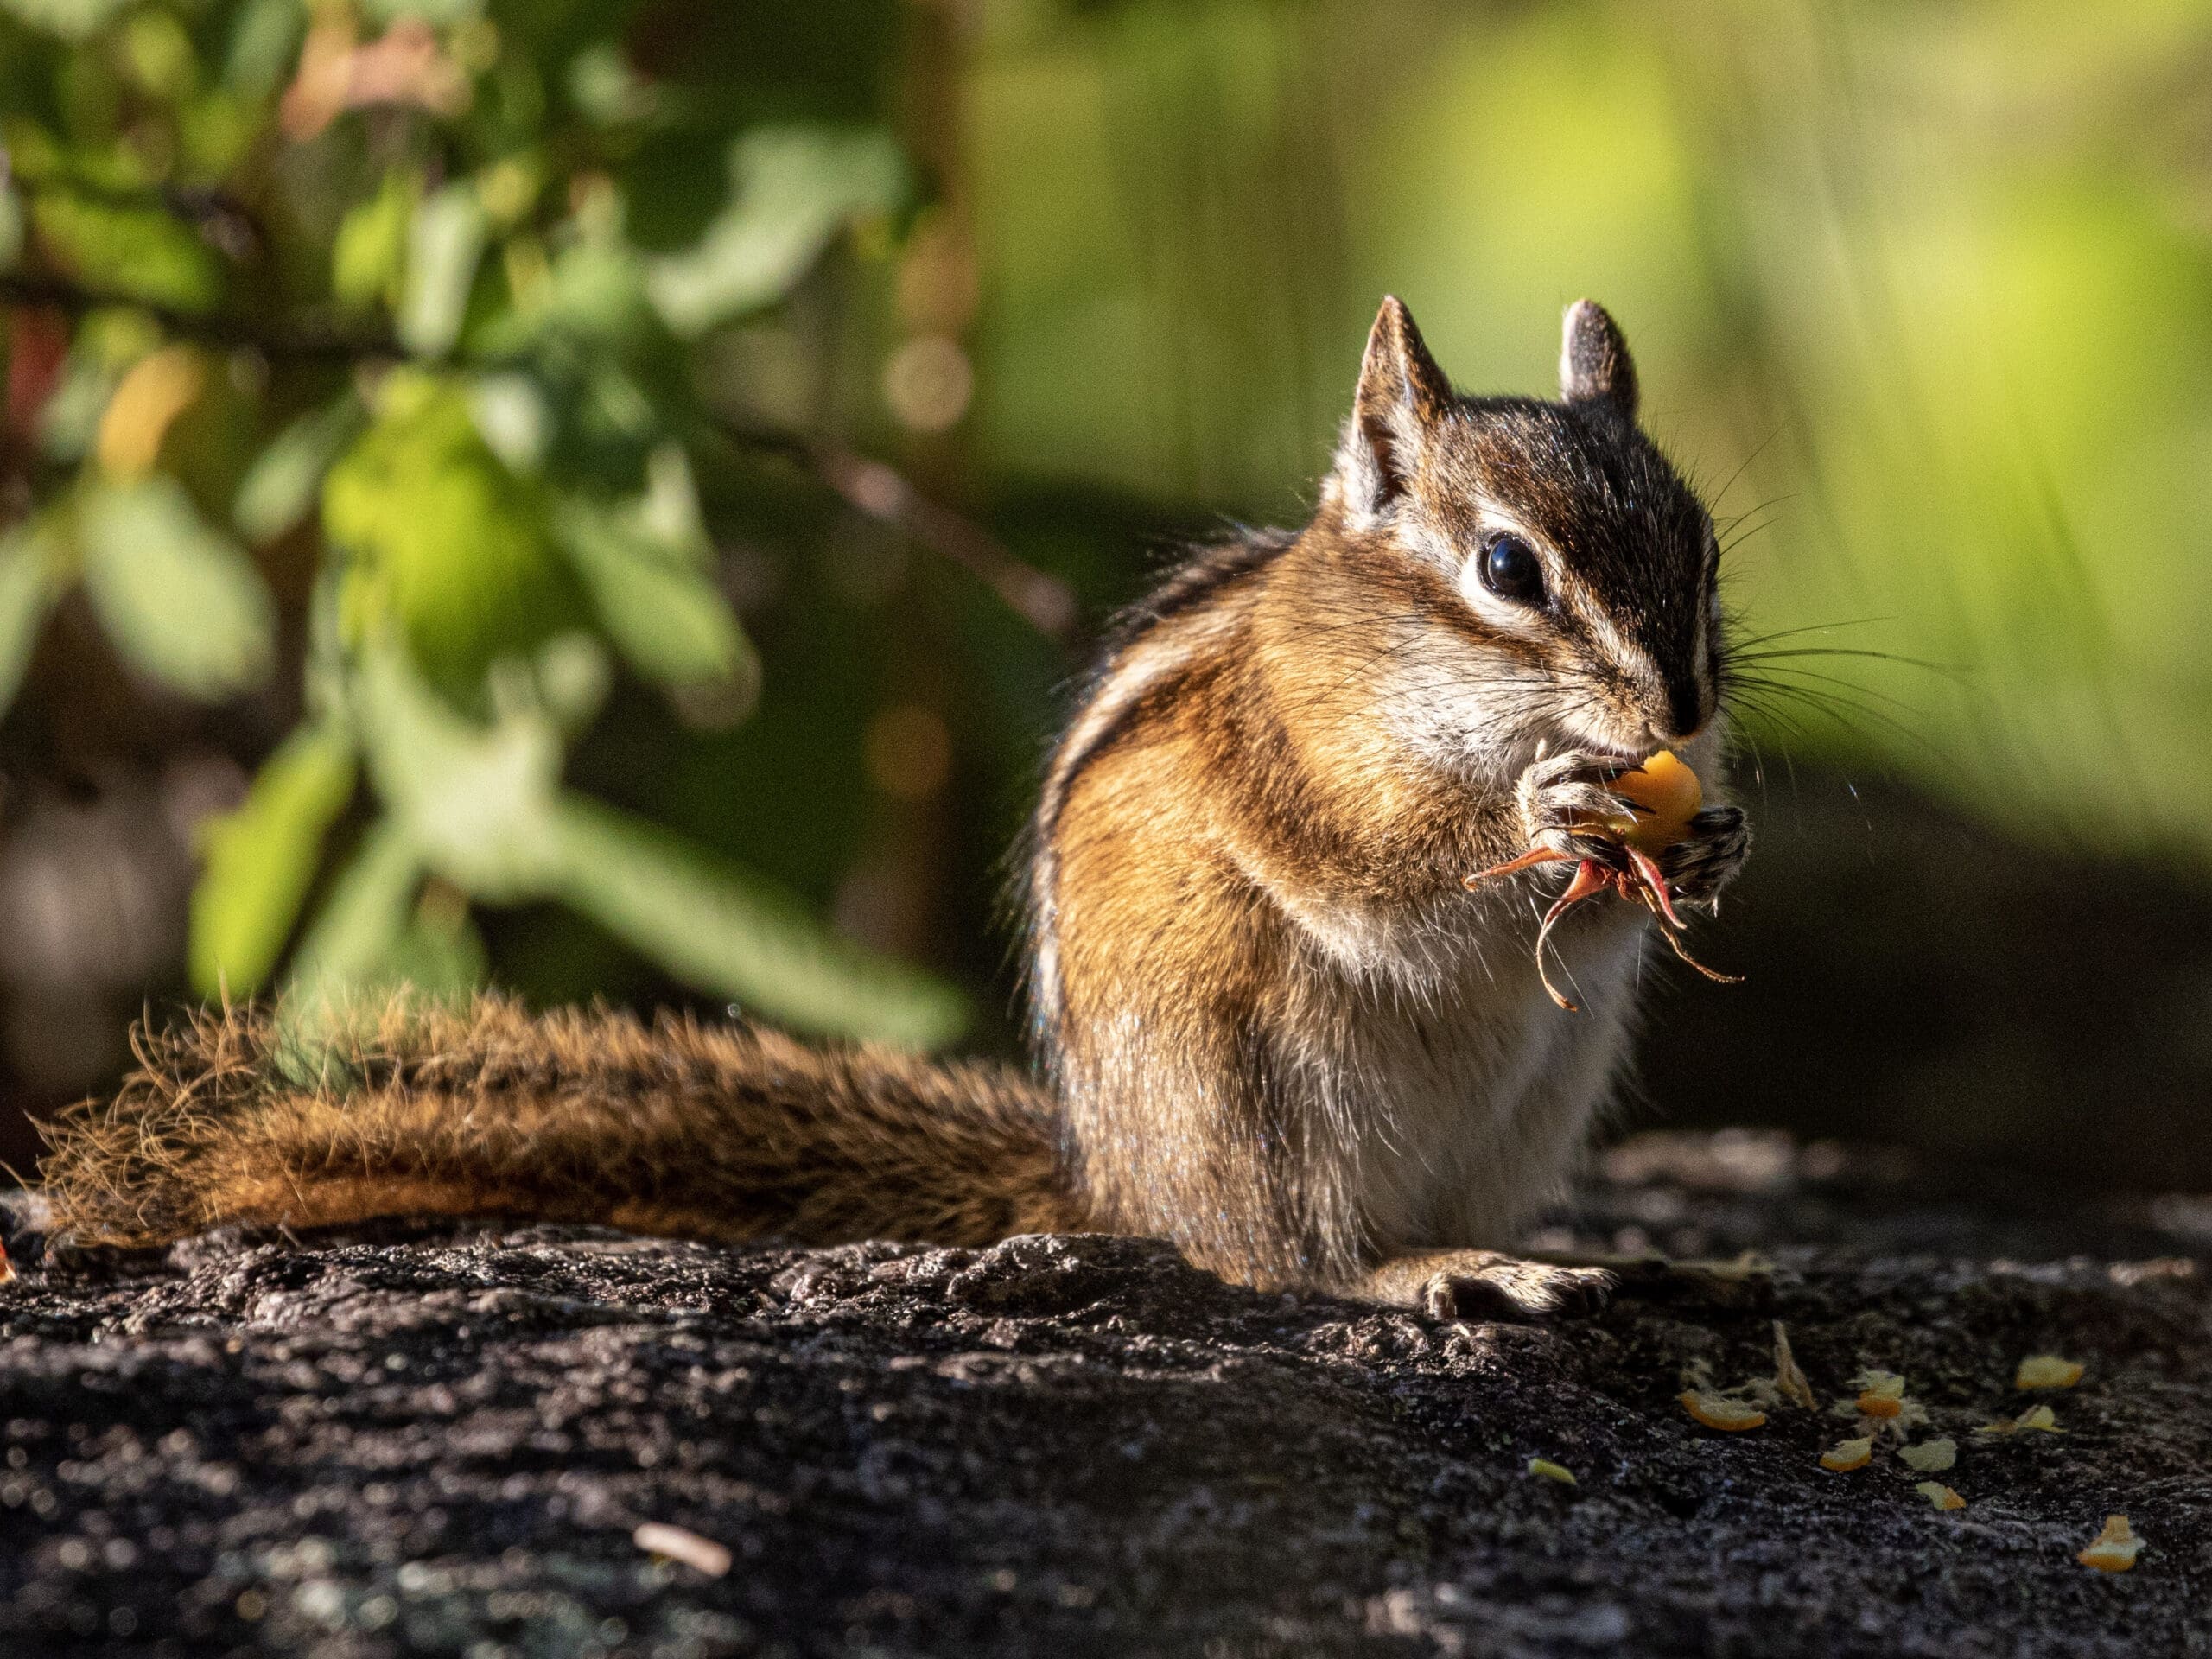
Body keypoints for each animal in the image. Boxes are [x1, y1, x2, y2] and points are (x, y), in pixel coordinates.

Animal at [34, 297, 1748, 1319]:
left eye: (1707, 549)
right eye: (1508, 568)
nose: (1681, 716)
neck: (1414, 671)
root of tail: (1105, 1176)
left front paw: (1711, 837)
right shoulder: (1286, 763)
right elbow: (1377, 865)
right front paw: (1542, 806)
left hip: (1536, 1098)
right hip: (1255, 1090)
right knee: (1278, 1260)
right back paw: (1429, 1269)